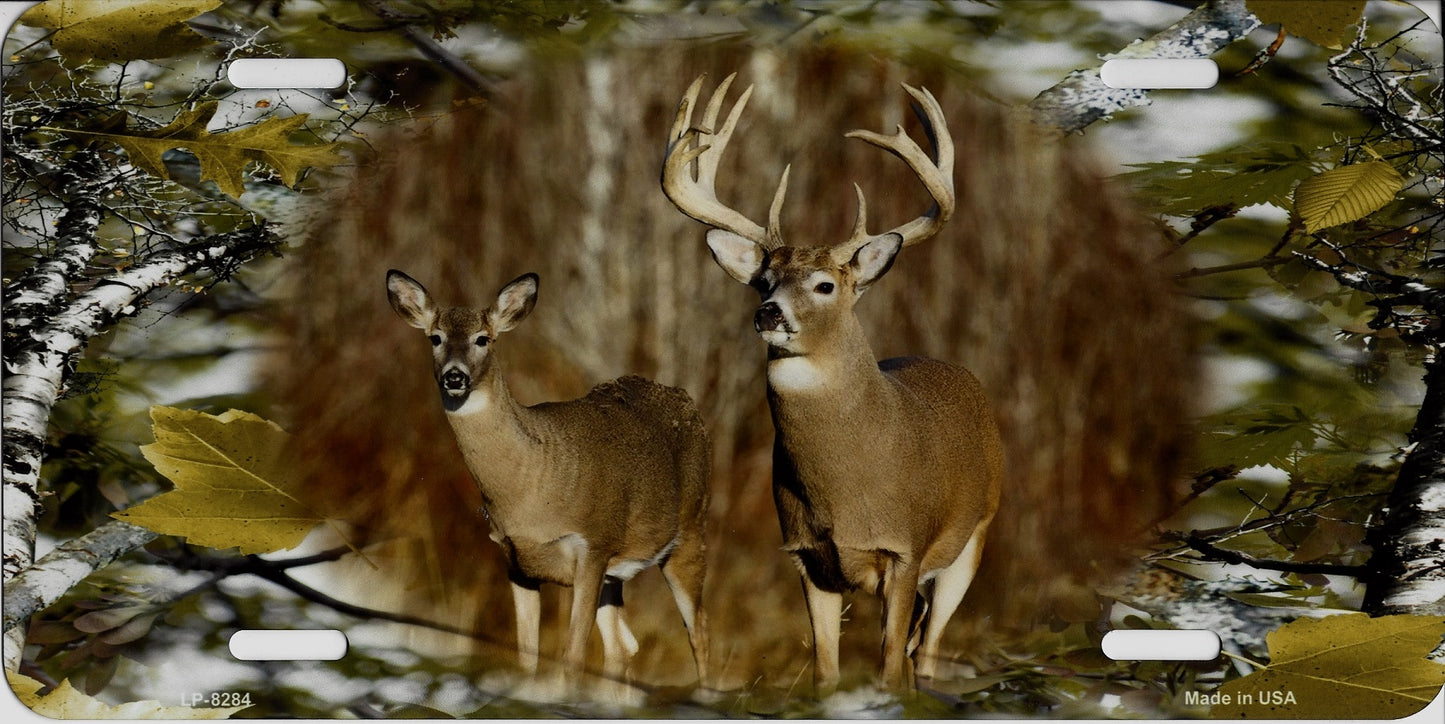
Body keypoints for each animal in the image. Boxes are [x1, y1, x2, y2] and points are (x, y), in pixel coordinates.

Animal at [384, 268, 710, 690]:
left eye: (483, 339)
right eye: (435, 337)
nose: (454, 377)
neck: (531, 489)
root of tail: (686, 401)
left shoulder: (593, 546)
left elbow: (572, 656)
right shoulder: (515, 561)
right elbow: (527, 655)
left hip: (690, 529)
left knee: (699, 629)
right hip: (616, 575)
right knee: (624, 646)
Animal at [661, 76, 999, 690]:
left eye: (824, 285)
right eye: (763, 280)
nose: (769, 313)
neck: (844, 490)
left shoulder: (904, 549)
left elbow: (887, 665)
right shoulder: (807, 555)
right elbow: (825, 667)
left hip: (973, 538)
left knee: (927, 652)